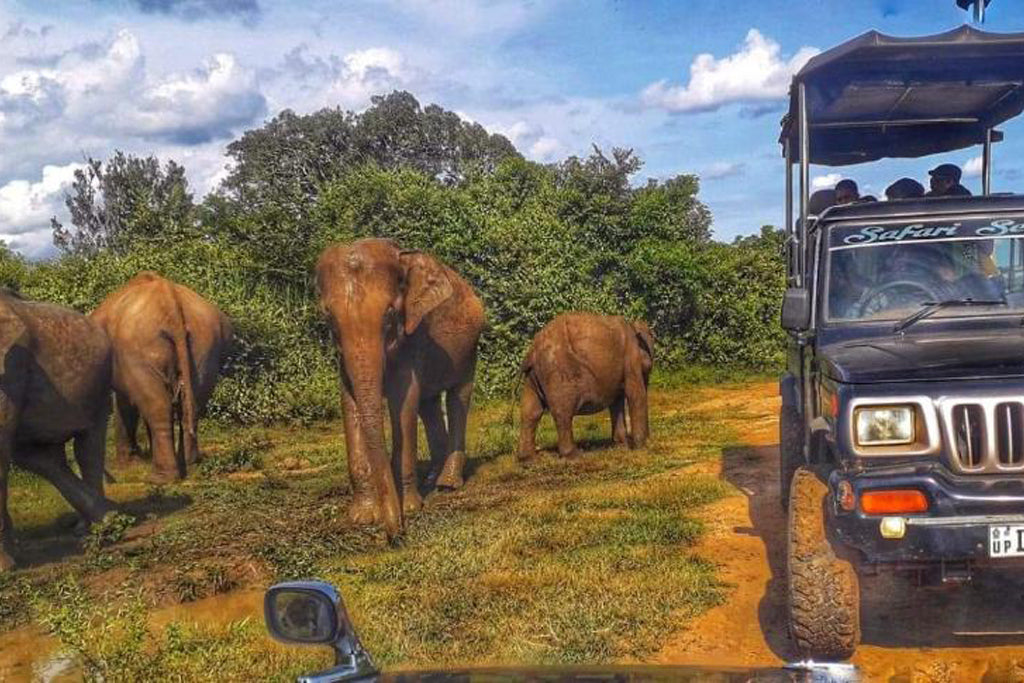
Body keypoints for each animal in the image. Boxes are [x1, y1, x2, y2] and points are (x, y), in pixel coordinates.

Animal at [0, 289, 115, 570]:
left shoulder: (11, 369)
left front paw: (6, 568)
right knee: (44, 460)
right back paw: (105, 519)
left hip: (98, 387)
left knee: (88, 448)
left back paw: (98, 528)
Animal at [90, 272, 233, 483]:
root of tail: (172, 303)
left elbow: (127, 403)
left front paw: (129, 465)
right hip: (206, 347)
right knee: (193, 402)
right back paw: (190, 466)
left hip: (138, 350)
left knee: (159, 406)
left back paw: (160, 478)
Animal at [316, 238, 485, 538]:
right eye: (329, 318)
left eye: (390, 314)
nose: (397, 535)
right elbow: (350, 403)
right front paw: (362, 517)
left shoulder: (413, 335)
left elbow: (403, 402)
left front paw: (410, 509)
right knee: (429, 404)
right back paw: (431, 478)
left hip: (469, 348)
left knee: (457, 398)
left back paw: (447, 484)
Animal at [518, 312, 655, 460]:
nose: (649, 439)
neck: (632, 327)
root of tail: (533, 350)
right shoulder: (631, 358)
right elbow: (635, 394)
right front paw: (641, 447)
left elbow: (616, 401)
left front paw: (621, 445)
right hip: (558, 373)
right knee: (563, 413)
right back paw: (574, 455)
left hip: (532, 376)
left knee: (531, 412)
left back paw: (528, 459)